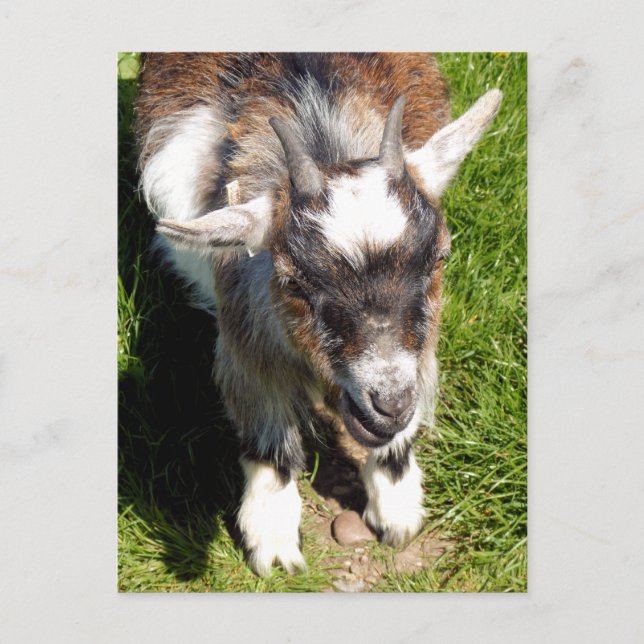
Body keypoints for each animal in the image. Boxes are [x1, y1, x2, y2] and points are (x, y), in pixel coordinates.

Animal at [135, 53, 501, 576]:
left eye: (439, 259)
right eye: (293, 282)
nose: (390, 403)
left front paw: (398, 511)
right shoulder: (248, 329)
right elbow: (269, 438)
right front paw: (272, 543)